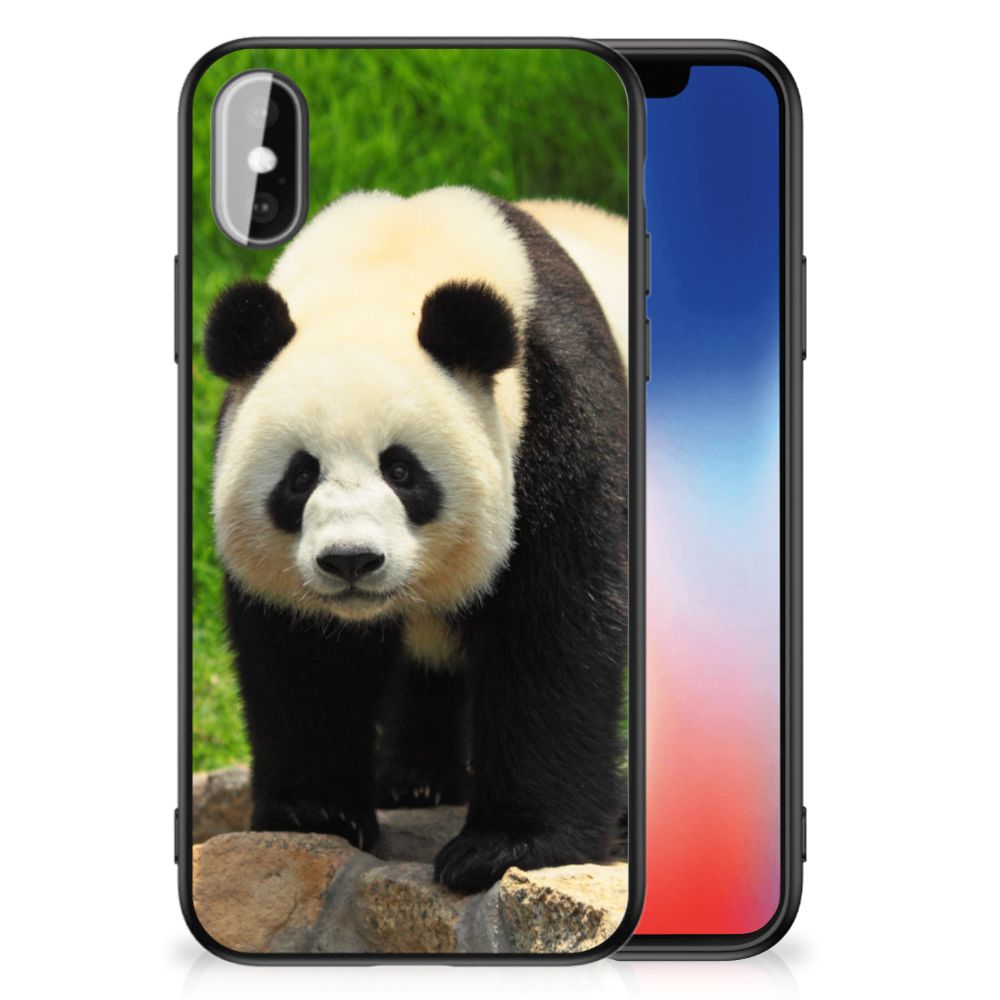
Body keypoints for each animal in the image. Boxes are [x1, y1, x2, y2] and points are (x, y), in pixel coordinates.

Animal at [204, 186, 628, 893]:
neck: (389, 263)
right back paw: (415, 780)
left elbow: (556, 628)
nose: (351, 560)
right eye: (300, 475)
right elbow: (302, 654)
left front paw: (504, 846)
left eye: (401, 471)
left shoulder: (558, 415)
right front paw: (315, 812)